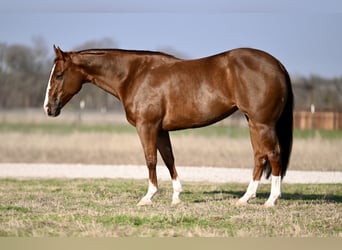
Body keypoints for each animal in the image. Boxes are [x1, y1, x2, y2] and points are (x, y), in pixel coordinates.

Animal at [43, 45, 294, 207]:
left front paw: (148, 197)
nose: (48, 108)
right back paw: (245, 198)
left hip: (262, 124)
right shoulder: (161, 130)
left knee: (273, 154)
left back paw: (271, 200)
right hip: (253, 123)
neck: (134, 74)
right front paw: (176, 197)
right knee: (260, 156)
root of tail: (278, 65)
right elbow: (168, 159)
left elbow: (151, 160)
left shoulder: (146, 127)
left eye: (59, 75)